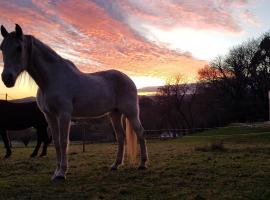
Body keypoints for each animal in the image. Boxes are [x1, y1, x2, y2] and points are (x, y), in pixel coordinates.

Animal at [0, 24, 148, 180]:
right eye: (2, 48)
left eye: (19, 48)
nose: (7, 78)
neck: (52, 79)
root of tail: (129, 79)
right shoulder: (50, 116)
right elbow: (56, 142)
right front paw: (56, 172)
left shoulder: (64, 115)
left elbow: (64, 141)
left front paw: (62, 173)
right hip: (114, 114)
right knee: (120, 136)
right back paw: (115, 165)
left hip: (131, 113)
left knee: (140, 133)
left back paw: (142, 164)